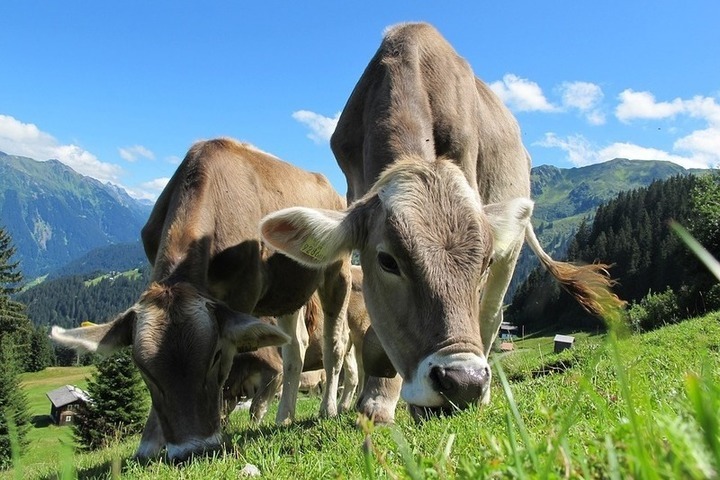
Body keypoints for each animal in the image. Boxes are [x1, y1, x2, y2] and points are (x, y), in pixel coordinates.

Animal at [49, 137, 352, 460]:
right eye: (142, 369)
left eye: (215, 356)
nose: (191, 450)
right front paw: (149, 443)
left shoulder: (242, 295)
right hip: (287, 291)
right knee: (296, 347)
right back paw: (284, 416)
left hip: (337, 271)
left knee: (335, 344)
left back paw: (328, 409)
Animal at [260, 22, 624, 422]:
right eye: (387, 261)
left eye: (484, 262)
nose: (464, 382)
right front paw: (377, 401)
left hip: (511, 250)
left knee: (491, 316)